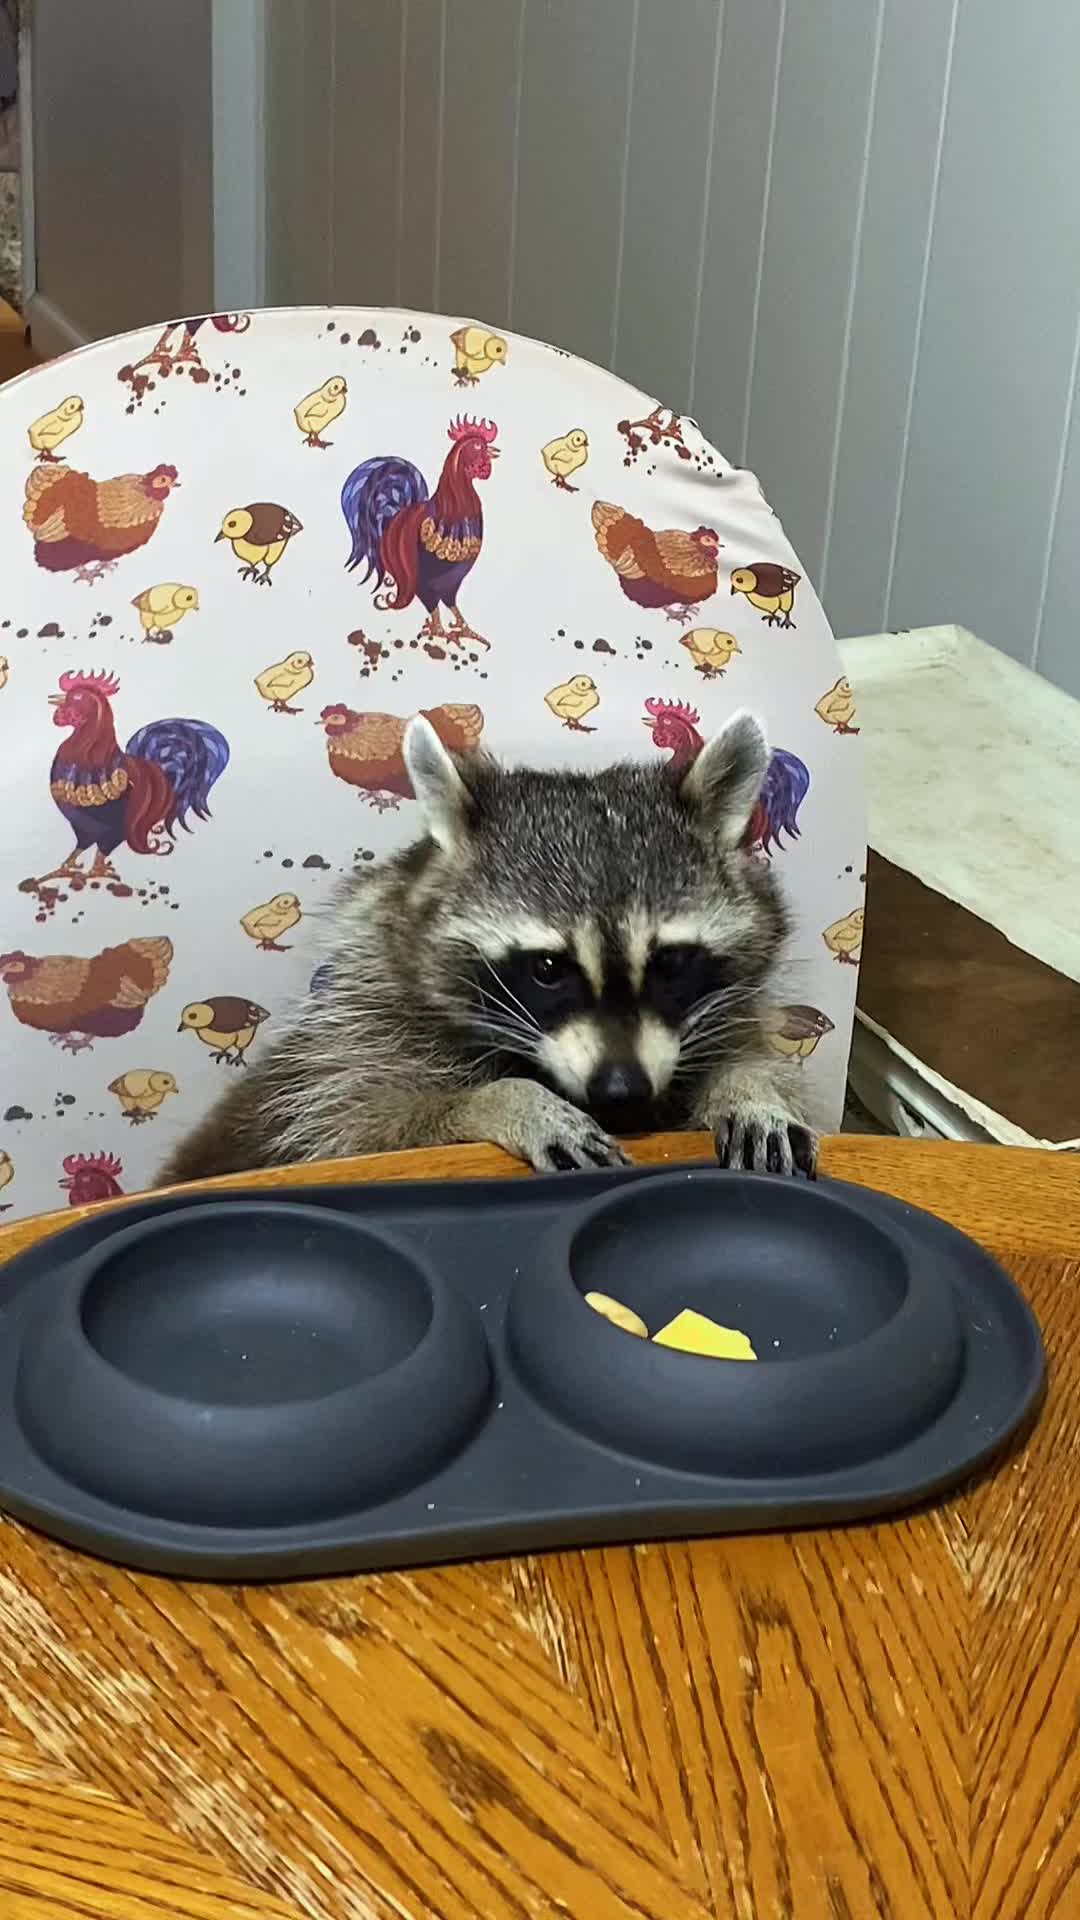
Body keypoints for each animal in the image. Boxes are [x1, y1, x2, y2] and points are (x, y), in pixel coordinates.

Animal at [159, 710, 816, 1187]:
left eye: (671, 962)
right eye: (548, 968)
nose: (622, 1091)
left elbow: (738, 1058)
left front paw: (747, 1088)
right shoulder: (359, 1030)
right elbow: (358, 1127)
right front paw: (501, 1100)